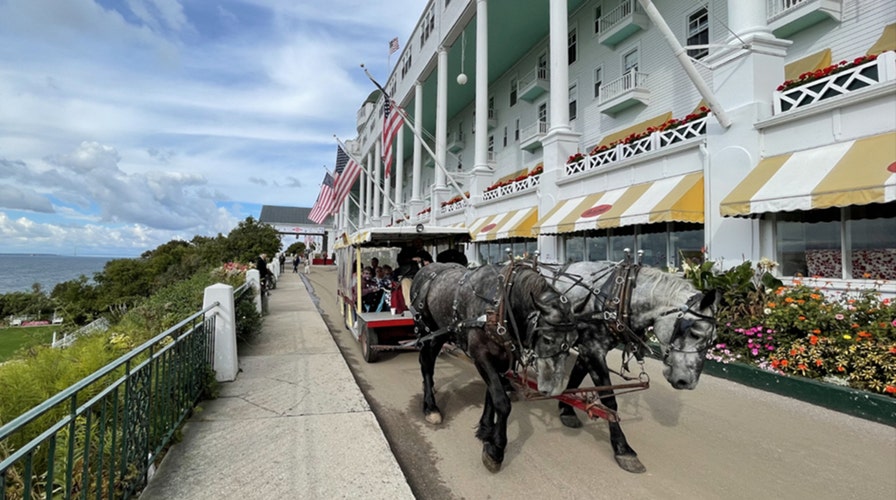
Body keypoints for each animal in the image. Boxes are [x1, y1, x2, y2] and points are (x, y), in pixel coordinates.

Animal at [410, 262, 576, 472]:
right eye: (547, 339)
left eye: (573, 342)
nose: (555, 389)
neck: (501, 306)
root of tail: (424, 269)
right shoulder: (481, 355)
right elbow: (501, 401)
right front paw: (496, 449)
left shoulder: (504, 357)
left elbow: (491, 394)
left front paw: (486, 428)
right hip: (428, 333)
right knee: (426, 365)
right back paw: (430, 407)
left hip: (441, 333)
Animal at [540, 260, 720, 474]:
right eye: (695, 333)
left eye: (713, 341)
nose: (688, 382)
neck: (616, 294)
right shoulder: (593, 348)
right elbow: (609, 400)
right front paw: (623, 448)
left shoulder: (588, 347)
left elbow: (576, 377)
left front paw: (566, 409)